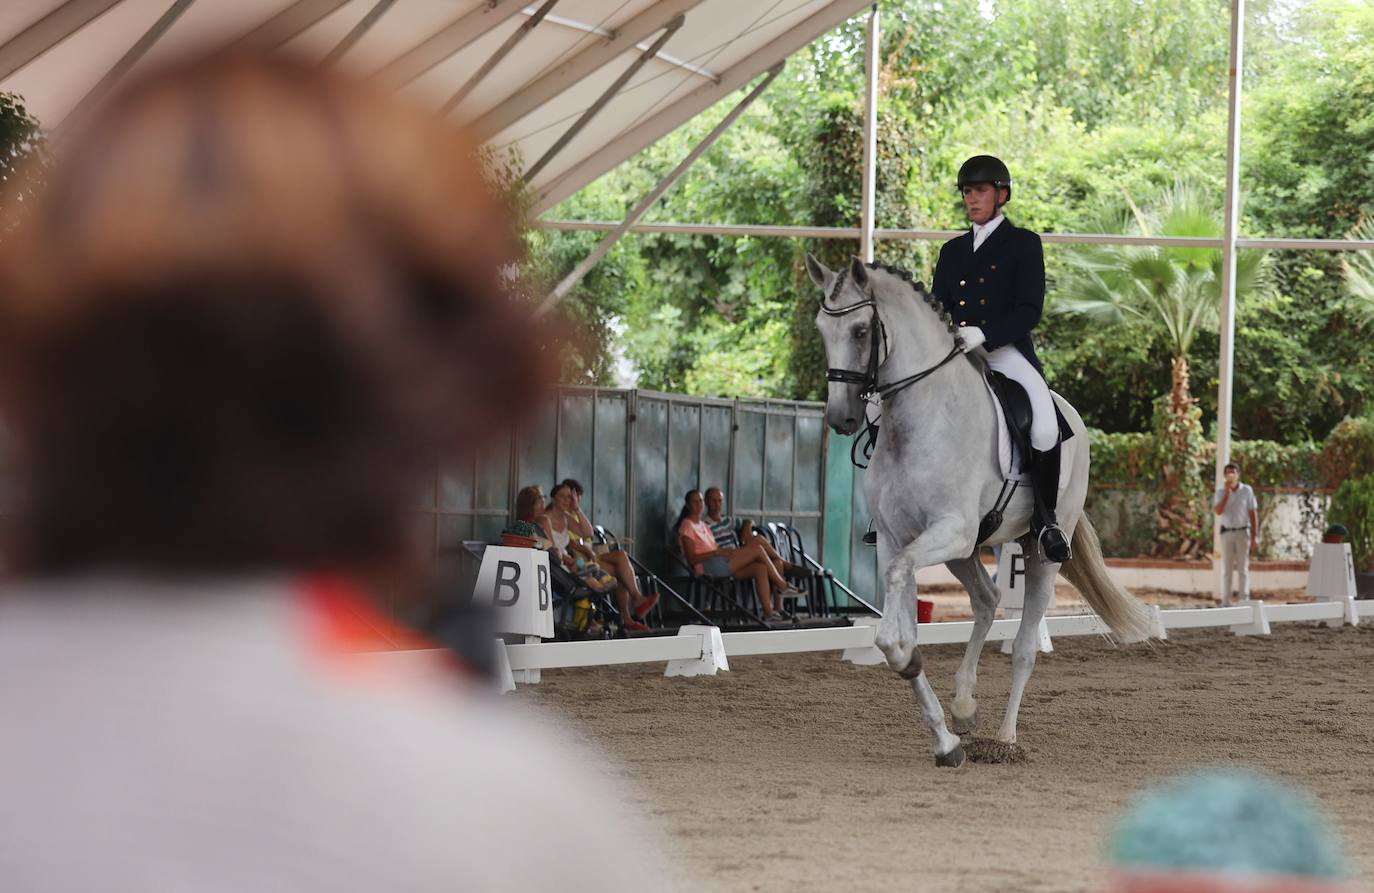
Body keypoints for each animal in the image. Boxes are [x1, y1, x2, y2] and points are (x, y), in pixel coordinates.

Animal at [802, 254, 1159, 763]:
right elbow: (904, 626)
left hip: (1038, 548)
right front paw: (945, 739)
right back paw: (965, 705)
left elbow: (896, 629)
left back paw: (1007, 738)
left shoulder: (949, 530)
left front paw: (904, 660)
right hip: (964, 552)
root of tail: (1070, 413)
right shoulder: (895, 540)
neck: (921, 419)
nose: (842, 418)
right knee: (988, 600)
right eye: (821, 329)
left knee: (1026, 644)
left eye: (861, 330)